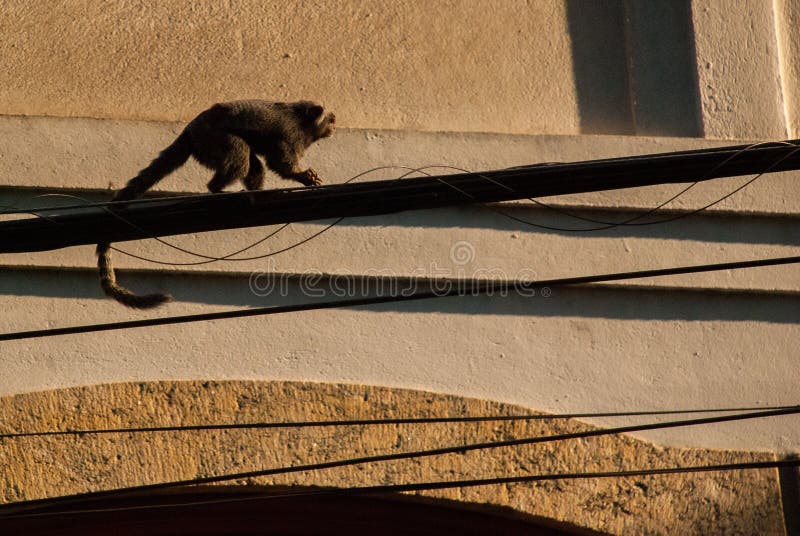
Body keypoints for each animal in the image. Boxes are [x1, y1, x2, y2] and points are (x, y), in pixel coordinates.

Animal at [98, 101, 336, 310]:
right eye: (330, 120)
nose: (334, 125)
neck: (303, 122)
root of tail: (190, 130)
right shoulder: (290, 134)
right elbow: (280, 163)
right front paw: (303, 176)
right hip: (211, 138)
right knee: (239, 152)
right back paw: (217, 188)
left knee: (252, 164)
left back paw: (254, 194)